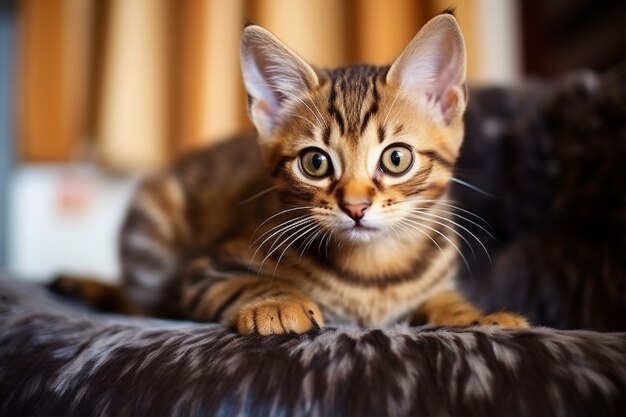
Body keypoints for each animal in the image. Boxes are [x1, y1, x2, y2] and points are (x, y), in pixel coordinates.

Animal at [69, 11, 528, 334]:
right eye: (316, 162)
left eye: (396, 159)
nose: (356, 207)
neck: (374, 272)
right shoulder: (201, 271)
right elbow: (248, 282)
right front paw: (277, 303)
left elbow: (443, 300)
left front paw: (476, 315)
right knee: (143, 302)